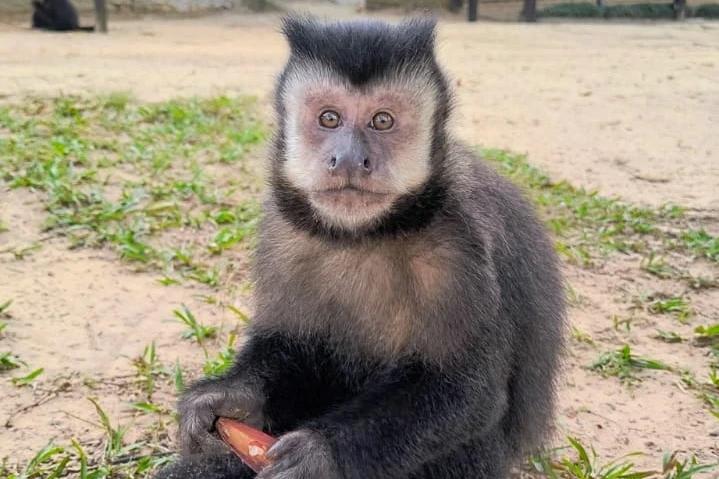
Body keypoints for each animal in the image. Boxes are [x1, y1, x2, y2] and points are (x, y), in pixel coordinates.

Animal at [156, 15, 565, 479]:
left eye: (382, 120)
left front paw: (318, 455)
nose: (349, 159)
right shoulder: (280, 235)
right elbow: (289, 344)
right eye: (329, 118)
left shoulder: (461, 247)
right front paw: (225, 400)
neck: (364, 235)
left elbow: (467, 391)